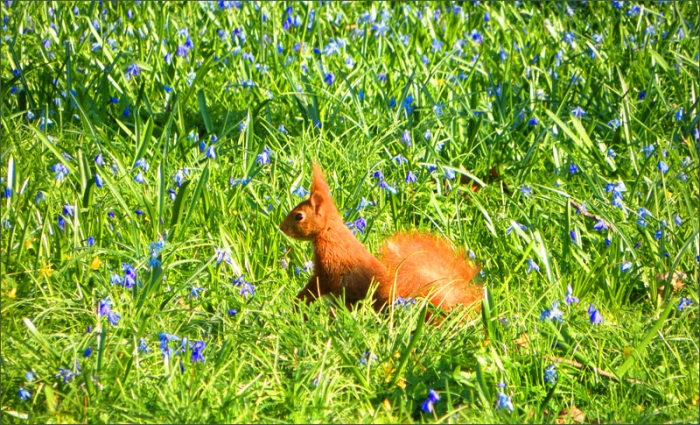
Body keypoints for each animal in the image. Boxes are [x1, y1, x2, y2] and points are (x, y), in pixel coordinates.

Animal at [279, 164, 481, 313]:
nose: (281, 227)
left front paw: (298, 302)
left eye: (299, 216)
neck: (329, 233)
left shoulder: (329, 265)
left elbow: (317, 286)